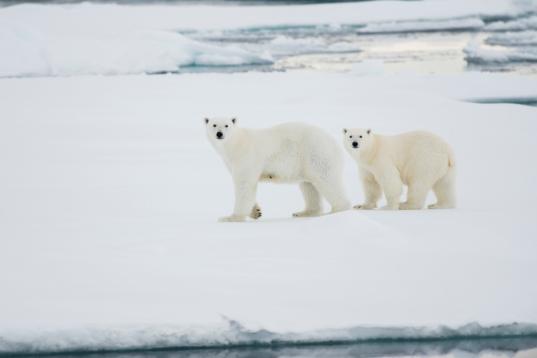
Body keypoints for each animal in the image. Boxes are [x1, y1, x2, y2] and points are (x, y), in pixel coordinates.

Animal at [205, 117, 352, 222]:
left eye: (226, 125)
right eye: (214, 125)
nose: (219, 134)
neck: (236, 144)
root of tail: (335, 144)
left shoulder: (246, 157)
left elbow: (244, 184)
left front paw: (231, 217)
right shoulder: (231, 162)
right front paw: (256, 212)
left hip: (317, 154)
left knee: (327, 181)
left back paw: (336, 211)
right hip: (305, 163)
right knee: (308, 185)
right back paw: (304, 212)